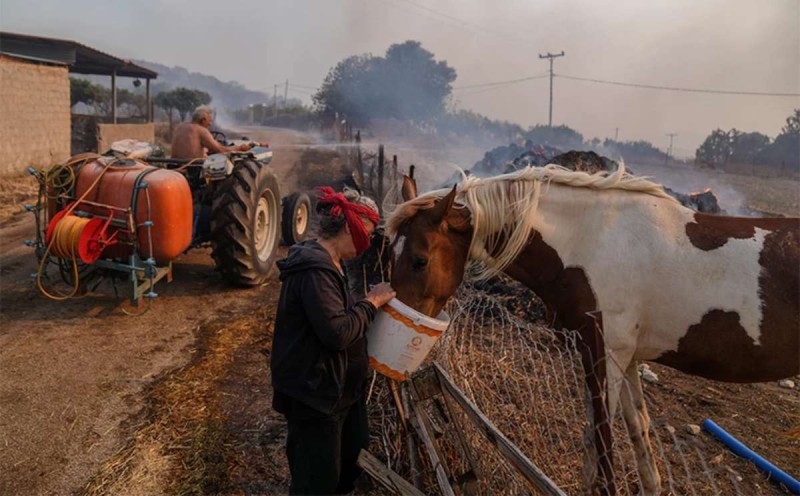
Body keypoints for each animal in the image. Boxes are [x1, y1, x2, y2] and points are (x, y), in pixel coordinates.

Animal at [388, 164, 800, 496]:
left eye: (419, 260)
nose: (395, 319)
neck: (592, 240)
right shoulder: (625, 358)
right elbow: (637, 437)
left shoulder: (605, 353)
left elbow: (601, 451)